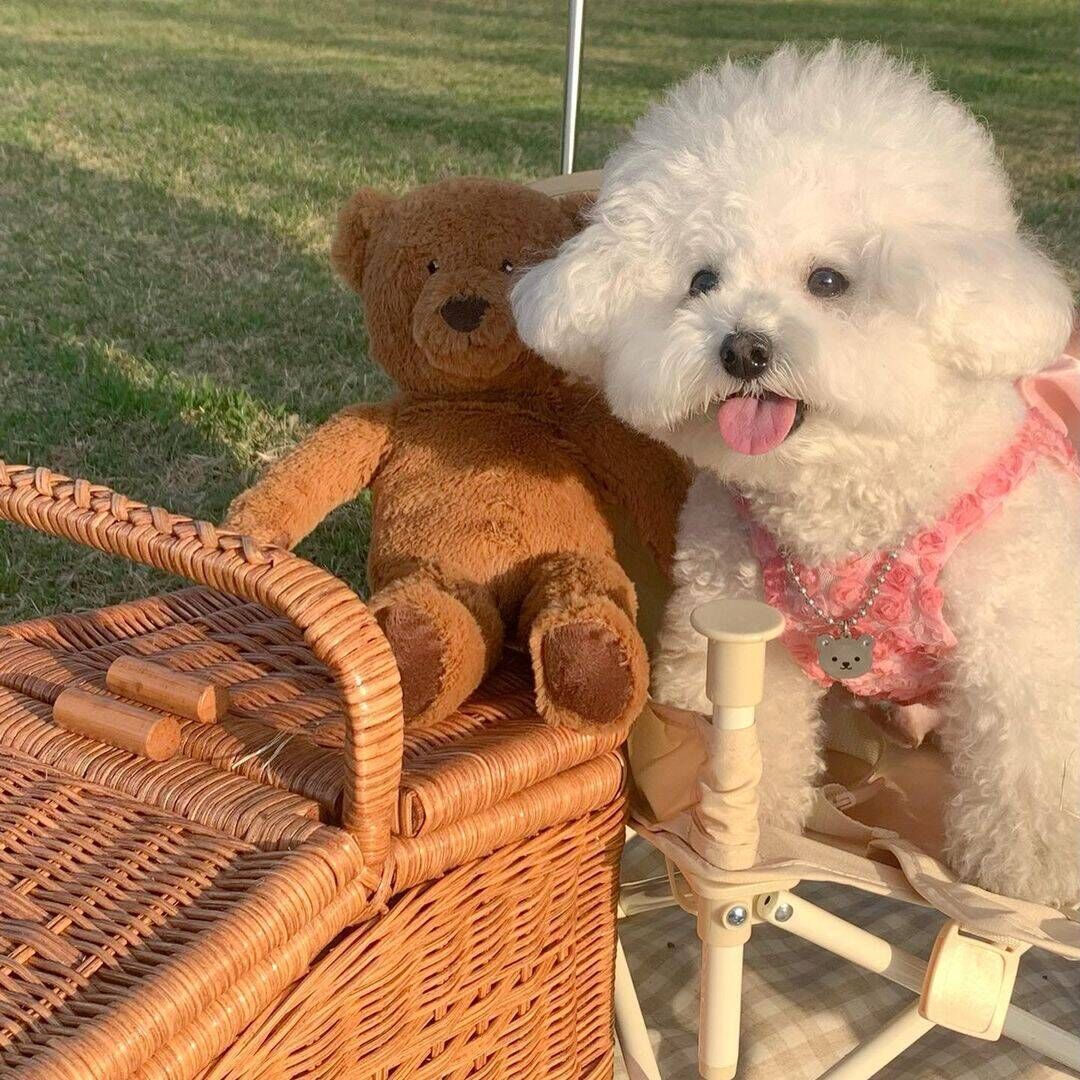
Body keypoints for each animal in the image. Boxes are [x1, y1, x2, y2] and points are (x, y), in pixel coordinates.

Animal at [516, 42, 1080, 907]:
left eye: (828, 281)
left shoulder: (1024, 651)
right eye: (701, 280)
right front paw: (750, 827)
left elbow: (1029, 774)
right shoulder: (734, 615)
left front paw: (1030, 880)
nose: (744, 347)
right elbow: (755, 737)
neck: (843, 499)